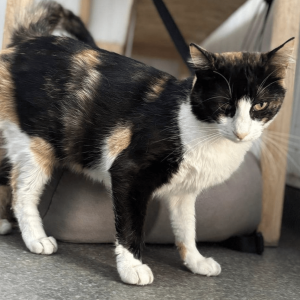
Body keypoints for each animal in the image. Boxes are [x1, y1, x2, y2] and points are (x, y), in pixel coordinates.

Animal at [0, 0, 294, 286]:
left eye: (260, 105)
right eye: (224, 105)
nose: (241, 133)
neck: (197, 125)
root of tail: (29, 39)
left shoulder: (183, 193)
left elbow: (187, 227)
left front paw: (196, 261)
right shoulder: (129, 172)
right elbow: (130, 224)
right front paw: (132, 267)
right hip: (36, 142)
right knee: (22, 193)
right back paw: (36, 238)